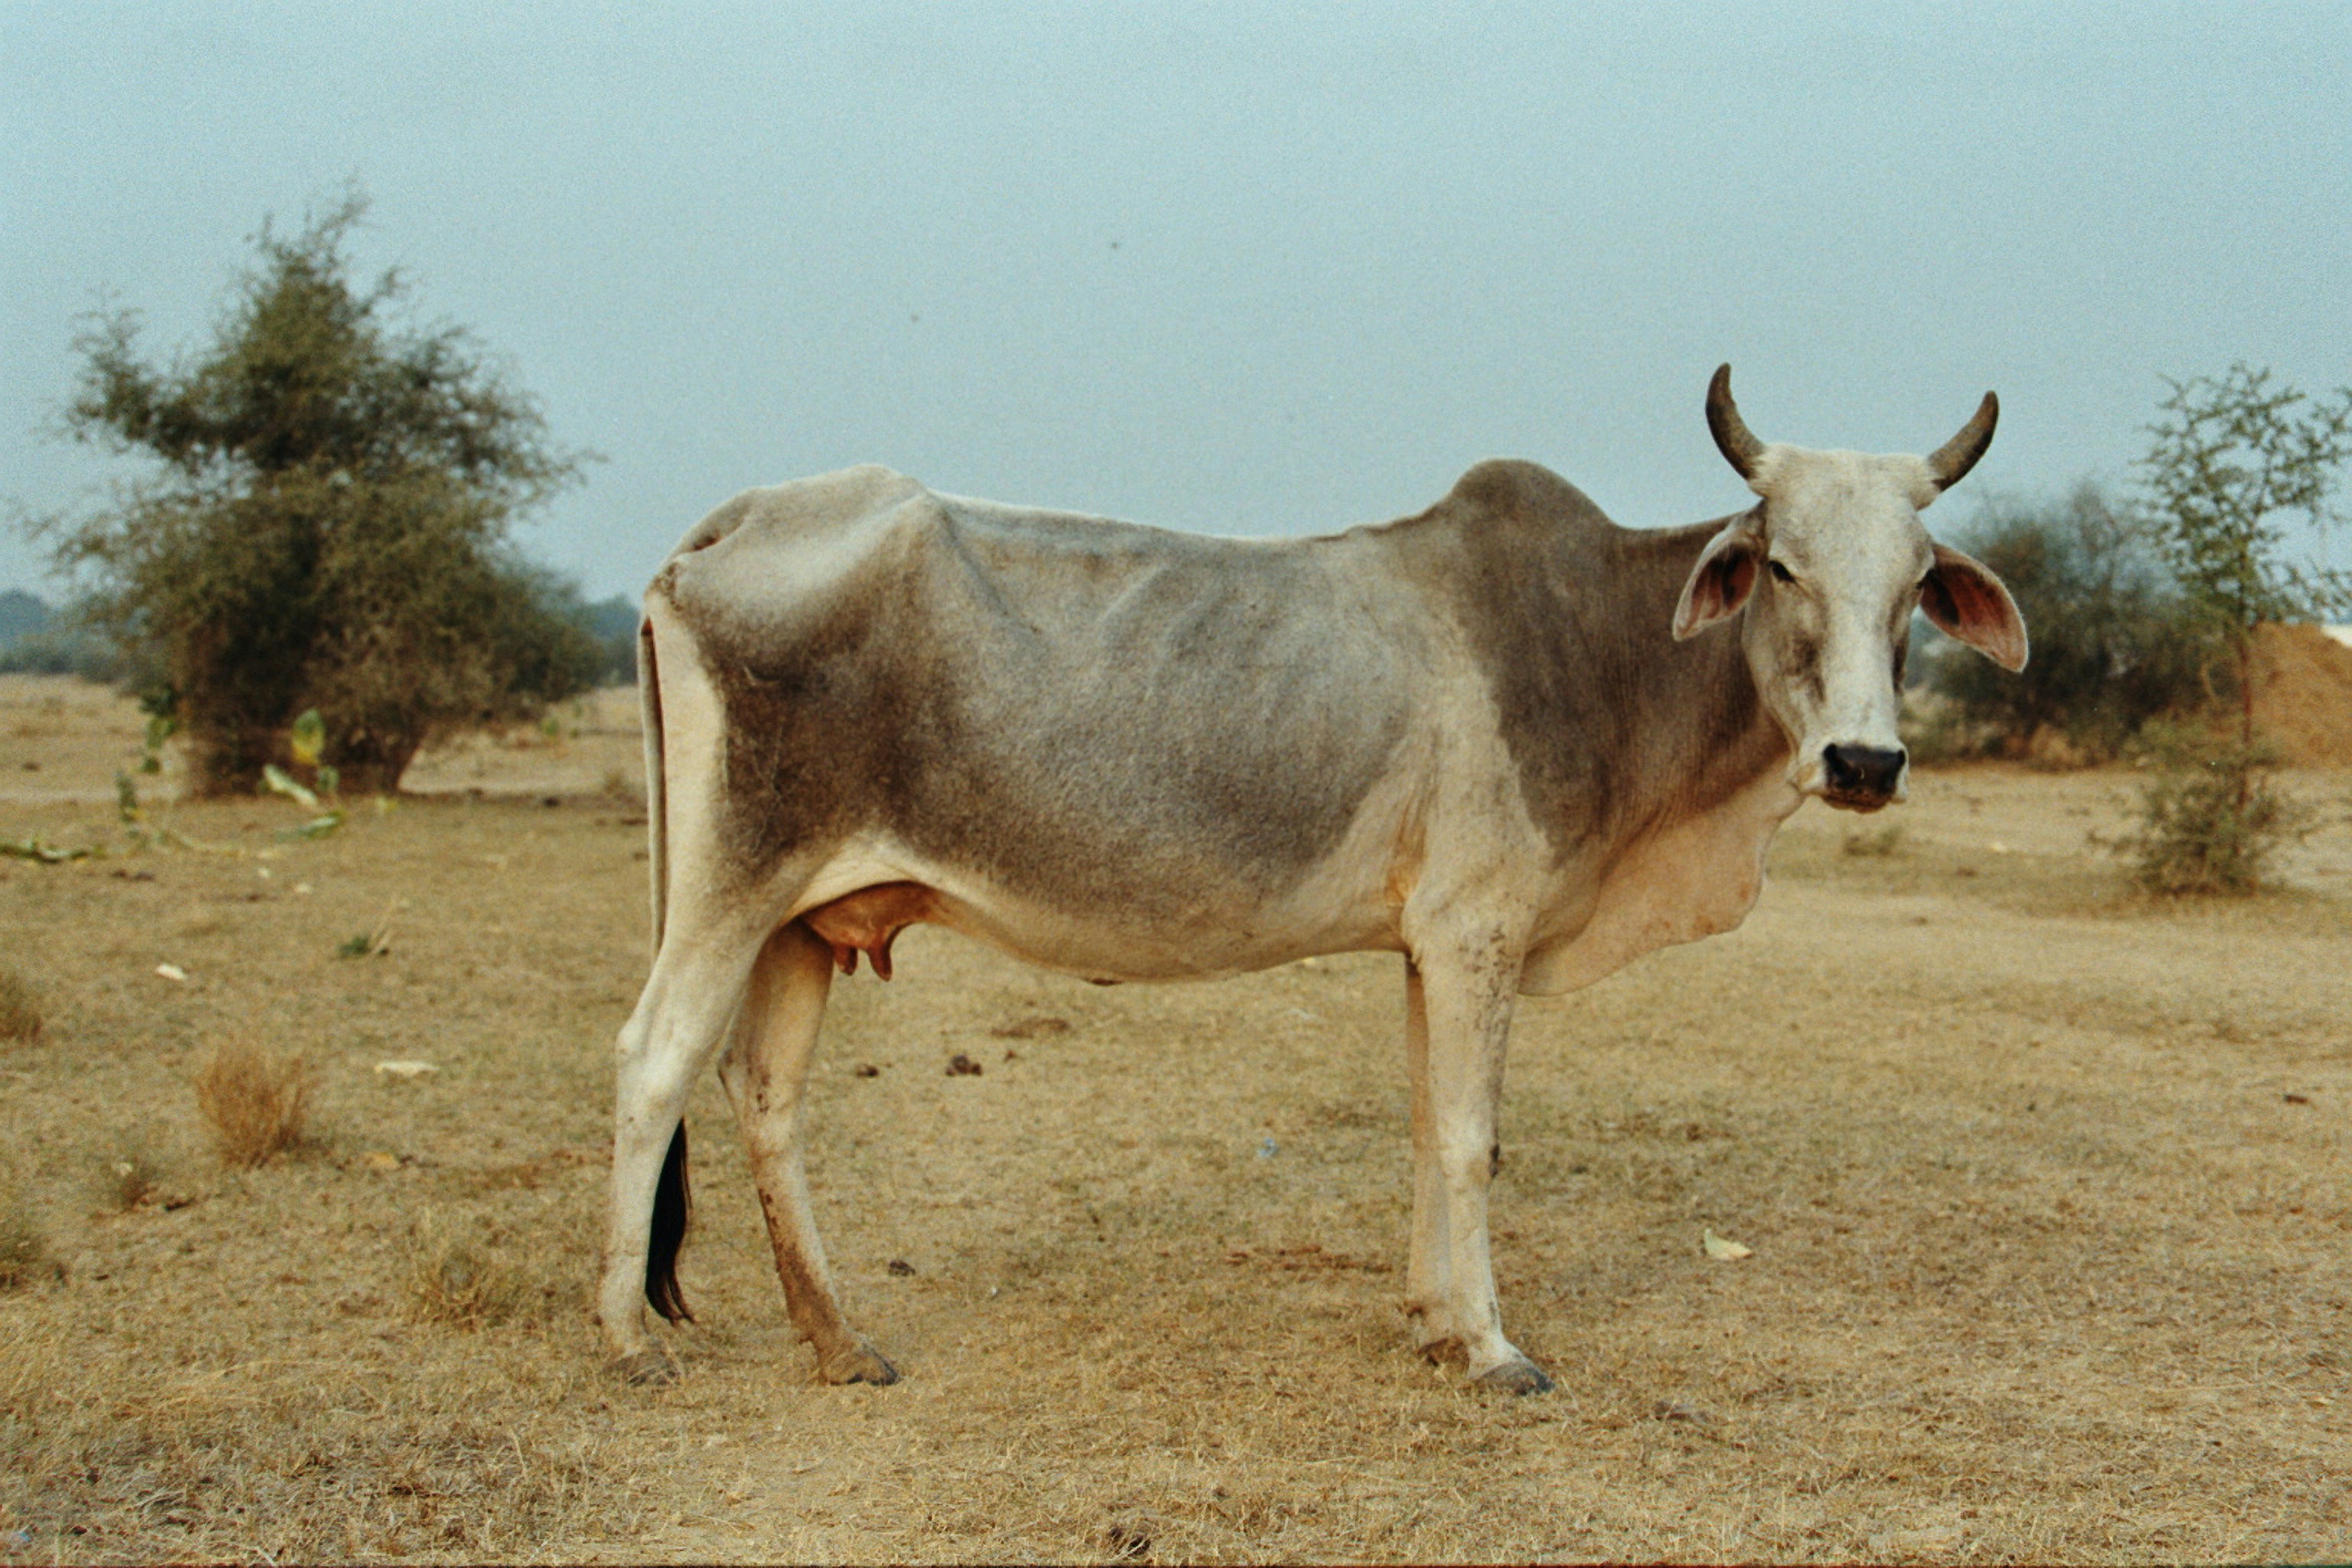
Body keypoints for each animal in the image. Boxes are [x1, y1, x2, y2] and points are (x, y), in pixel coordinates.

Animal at [597, 366, 2027, 1394]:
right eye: (1782, 564)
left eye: (1915, 586)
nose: (1864, 759)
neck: (1596, 646)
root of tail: (734, 520)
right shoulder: (1475, 929)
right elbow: (1471, 1136)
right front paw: (1494, 1348)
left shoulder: (1427, 945)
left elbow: (1427, 1123)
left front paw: (1434, 1323)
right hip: (732, 883)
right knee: (656, 1062)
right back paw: (627, 1340)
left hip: (800, 917)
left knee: (765, 1095)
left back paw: (837, 1340)